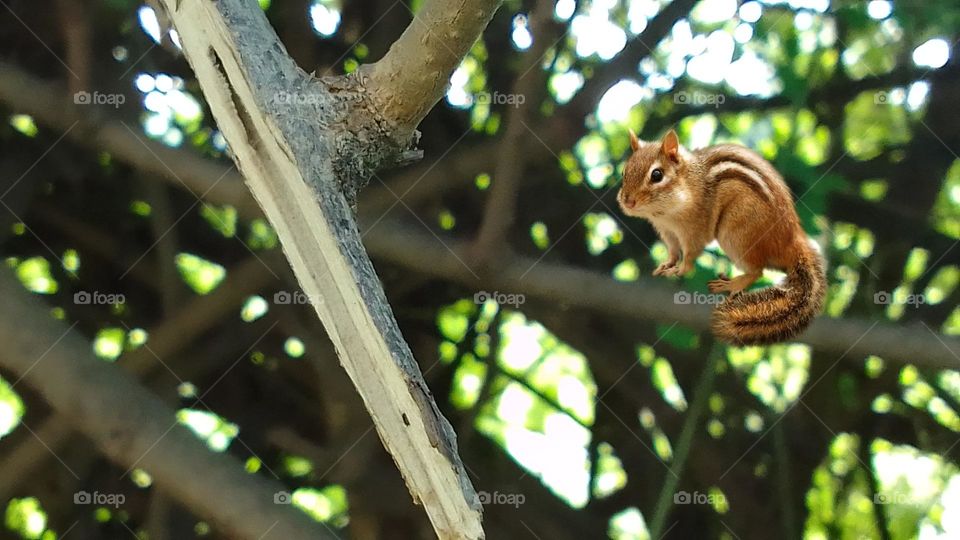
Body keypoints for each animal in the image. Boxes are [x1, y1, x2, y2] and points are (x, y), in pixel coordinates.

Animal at [617, 129, 826, 345]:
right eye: (624, 172)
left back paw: (733, 283)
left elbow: (689, 257)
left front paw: (679, 270)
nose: (627, 201)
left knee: (757, 271)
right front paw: (667, 265)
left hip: (735, 235)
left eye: (657, 175)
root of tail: (791, 241)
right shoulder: (667, 231)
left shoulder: (693, 231)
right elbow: (673, 251)